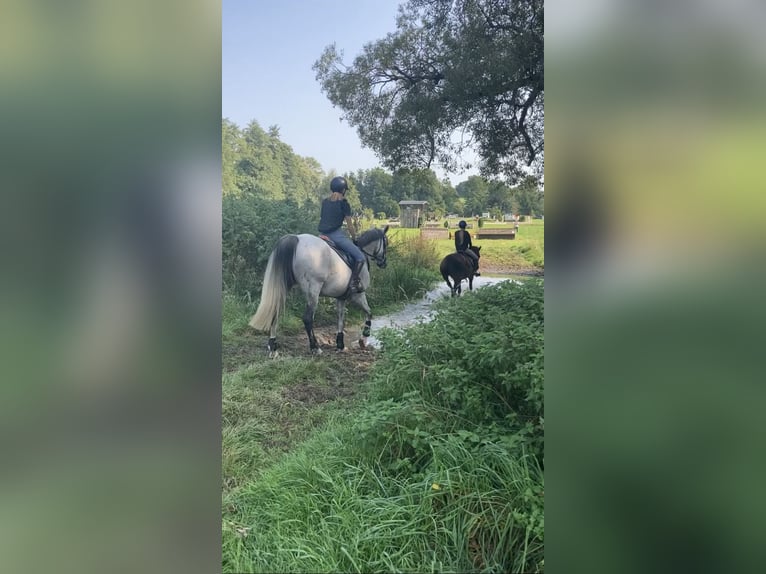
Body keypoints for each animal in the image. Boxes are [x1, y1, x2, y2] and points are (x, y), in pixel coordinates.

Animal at [249, 226, 390, 358]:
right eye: (386, 243)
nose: (383, 263)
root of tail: (297, 238)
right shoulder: (358, 295)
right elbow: (369, 313)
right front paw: (363, 339)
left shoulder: (341, 298)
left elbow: (340, 319)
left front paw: (340, 345)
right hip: (314, 290)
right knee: (307, 318)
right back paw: (315, 348)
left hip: (284, 286)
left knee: (275, 311)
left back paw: (273, 347)